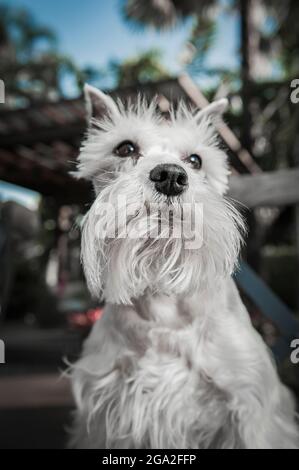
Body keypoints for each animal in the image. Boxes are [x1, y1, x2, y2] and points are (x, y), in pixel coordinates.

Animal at [68, 84, 299, 448]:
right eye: (125, 148)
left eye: (195, 160)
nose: (171, 176)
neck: (164, 305)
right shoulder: (103, 415)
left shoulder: (248, 408)